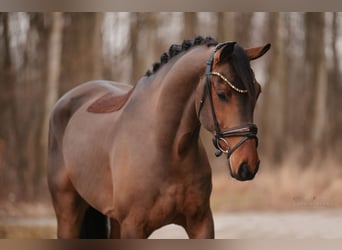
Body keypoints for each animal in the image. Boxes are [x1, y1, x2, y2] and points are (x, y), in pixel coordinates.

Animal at [47, 35, 270, 238]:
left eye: (258, 92)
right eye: (222, 93)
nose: (247, 165)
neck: (168, 148)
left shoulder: (201, 223)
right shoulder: (133, 227)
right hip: (68, 213)